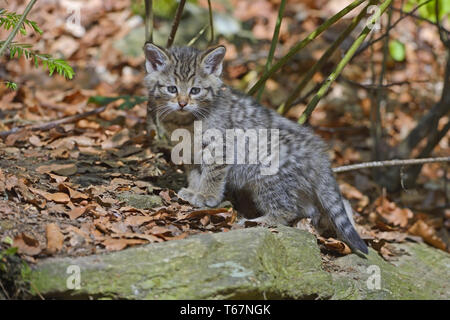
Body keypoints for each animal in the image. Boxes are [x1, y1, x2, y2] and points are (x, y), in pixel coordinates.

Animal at [144, 42, 370, 254]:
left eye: (195, 90)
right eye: (172, 89)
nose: (182, 103)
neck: (186, 121)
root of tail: (317, 151)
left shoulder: (221, 146)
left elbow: (213, 174)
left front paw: (208, 196)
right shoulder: (189, 150)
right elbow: (194, 172)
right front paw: (194, 190)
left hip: (268, 176)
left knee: (287, 209)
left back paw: (259, 221)